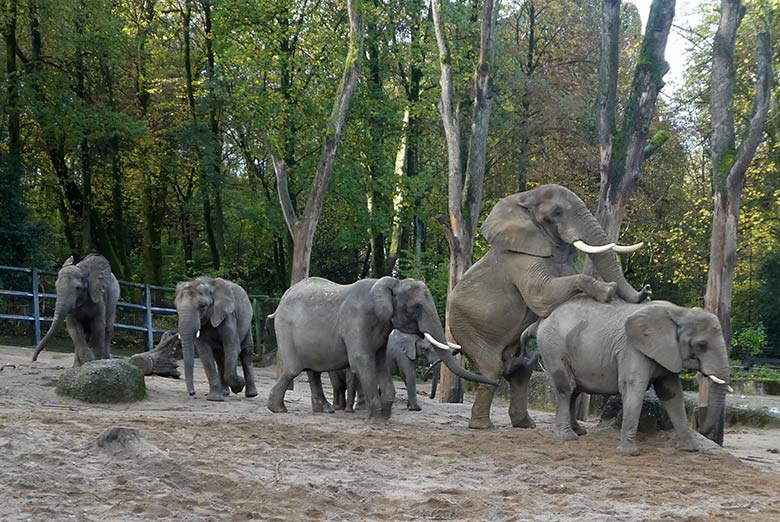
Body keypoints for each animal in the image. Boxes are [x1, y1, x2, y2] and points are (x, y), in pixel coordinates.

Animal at [268, 276, 496, 418]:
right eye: (416, 307)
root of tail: (280, 303)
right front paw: (376, 417)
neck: (393, 283)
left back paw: (323, 410)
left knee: (313, 371)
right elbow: (362, 360)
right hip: (285, 330)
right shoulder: (357, 319)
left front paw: (384, 415)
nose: (496, 382)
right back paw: (278, 409)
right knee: (293, 370)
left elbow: (379, 363)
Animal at [444, 185, 652, 428]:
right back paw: (483, 426)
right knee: (492, 368)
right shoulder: (520, 260)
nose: (647, 289)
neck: (525, 198)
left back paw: (525, 424)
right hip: (465, 326)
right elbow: (541, 296)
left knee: (520, 369)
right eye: (558, 212)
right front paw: (607, 290)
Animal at [524, 296, 732, 456]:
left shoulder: (668, 353)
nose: (702, 429)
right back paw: (567, 437)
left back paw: (579, 431)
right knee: (566, 388)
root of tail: (542, 320)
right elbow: (633, 387)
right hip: (553, 347)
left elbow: (672, 394)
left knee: (574, 390)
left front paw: (690, 449)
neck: (679, 311)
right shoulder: (632, 349)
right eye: (701, 345)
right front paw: (629, 453)